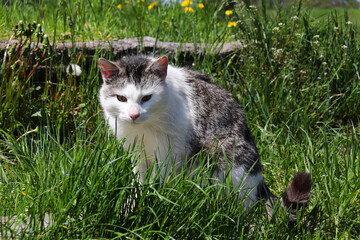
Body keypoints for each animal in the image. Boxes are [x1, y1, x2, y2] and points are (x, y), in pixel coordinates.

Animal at [98, 55, 312, 221]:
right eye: (121, 98)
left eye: (147, 98)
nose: (134, 115)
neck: (144, 129)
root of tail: (260, 183)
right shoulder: (137, 155)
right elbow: (138, 183)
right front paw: (132, 205)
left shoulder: (169, 154)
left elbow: (157, 181)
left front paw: (152, 201)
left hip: (219, 155)